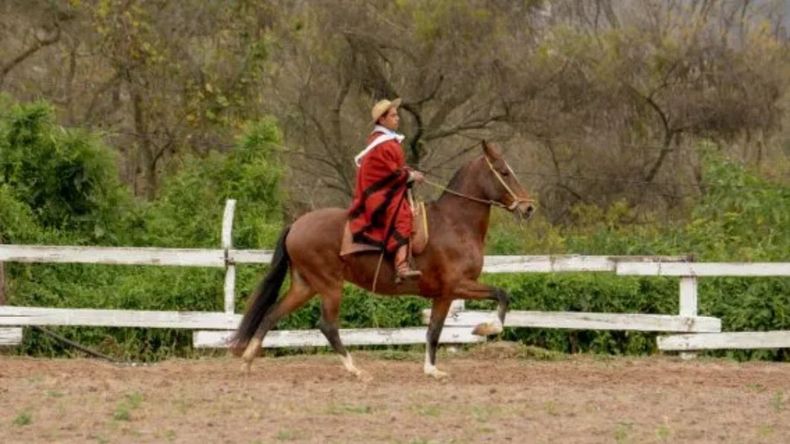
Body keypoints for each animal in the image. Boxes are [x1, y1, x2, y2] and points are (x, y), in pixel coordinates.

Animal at [231, 140, 535, 379]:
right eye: (504, 171)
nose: (529, 207)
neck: (454, 223)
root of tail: (296, 225)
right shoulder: (457, 286)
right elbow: (501, 295)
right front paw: (484, 327)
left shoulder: (443, 295)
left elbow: (434, 331)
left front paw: (432, 369)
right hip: (330, 286)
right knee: (327, 326)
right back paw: (355, 369)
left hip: (305, 286)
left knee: (272, 314)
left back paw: (247, 361)